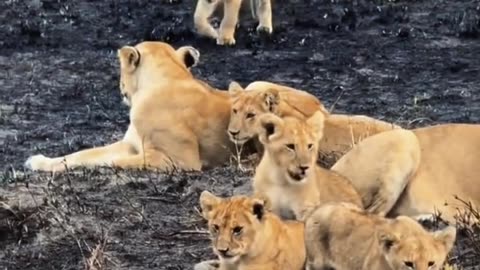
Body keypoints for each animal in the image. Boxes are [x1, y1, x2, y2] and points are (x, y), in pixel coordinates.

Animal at [24, 42, 238, 173]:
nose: (120, 87)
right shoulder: (130, 144)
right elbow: (83, 154)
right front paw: (39, 162)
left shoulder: (181, 160)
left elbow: (113, 161)